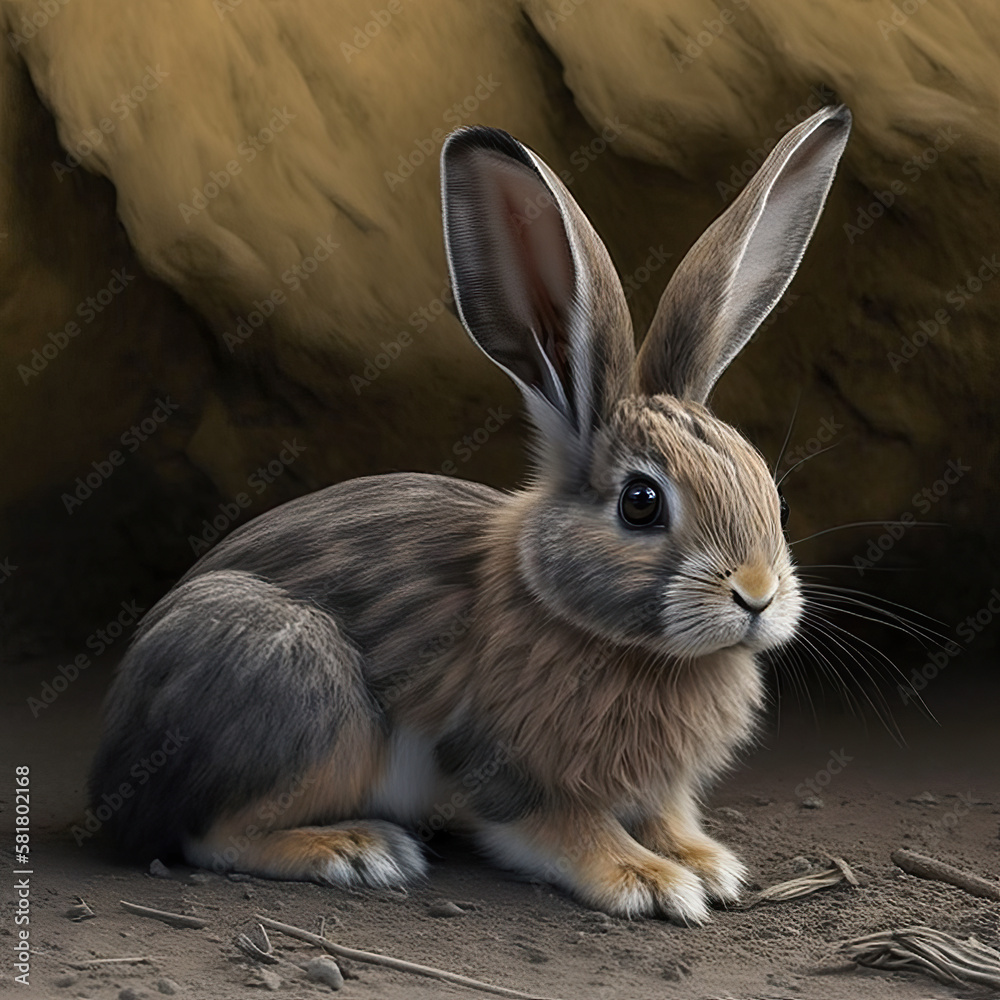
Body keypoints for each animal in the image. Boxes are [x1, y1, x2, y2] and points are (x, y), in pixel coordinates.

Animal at [89, 103, 851, 923]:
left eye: (774, 497)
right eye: (641, 503)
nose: (757, 595)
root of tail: (110, 773)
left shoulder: (658, 788)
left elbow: (666, 815)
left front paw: (707, 863)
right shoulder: (497, 757)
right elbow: (567, 825)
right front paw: (649, 881)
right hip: (303, 691)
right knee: (211, 836)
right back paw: (356, 850)